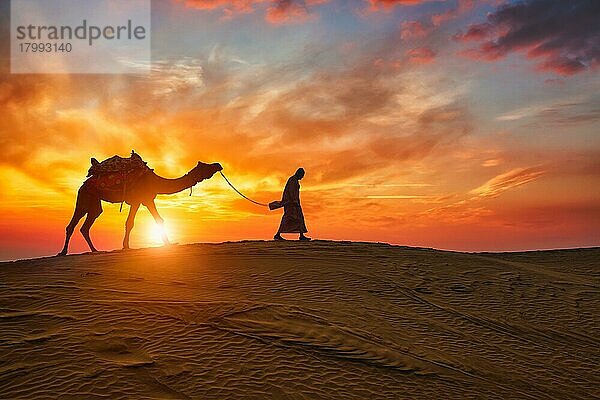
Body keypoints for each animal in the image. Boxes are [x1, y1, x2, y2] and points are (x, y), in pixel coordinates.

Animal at [59, 160, 223, 256]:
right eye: (206, 166)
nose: (218, 164)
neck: (155, 181)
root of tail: (83, 185)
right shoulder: (138, 200)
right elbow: (130, 223)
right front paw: (126, 246)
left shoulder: (148, 199)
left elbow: (159, 220)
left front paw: (168, 243)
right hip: (84, 197)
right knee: (73, 224)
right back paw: (63, 252)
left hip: (94, 203)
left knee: (86, 225)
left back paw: (95, 250)